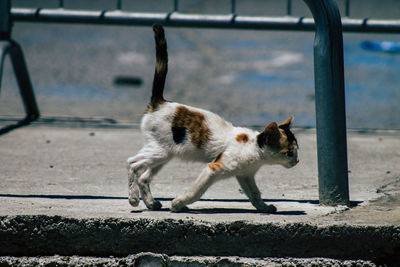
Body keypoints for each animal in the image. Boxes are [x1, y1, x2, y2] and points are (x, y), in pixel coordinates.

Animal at [126, 24, 298, 214]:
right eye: (289, 152)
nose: (297, 161)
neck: (253, 147)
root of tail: (160, 103)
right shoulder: (214, 168)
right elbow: (196, 192)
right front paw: (178, 204)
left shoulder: (245, 175)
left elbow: (254, 194)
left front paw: (264, 207)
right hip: (159, 151)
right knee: (132, 164)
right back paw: (133, 198)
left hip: (164, 154)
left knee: (143, 177)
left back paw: (151, 203)